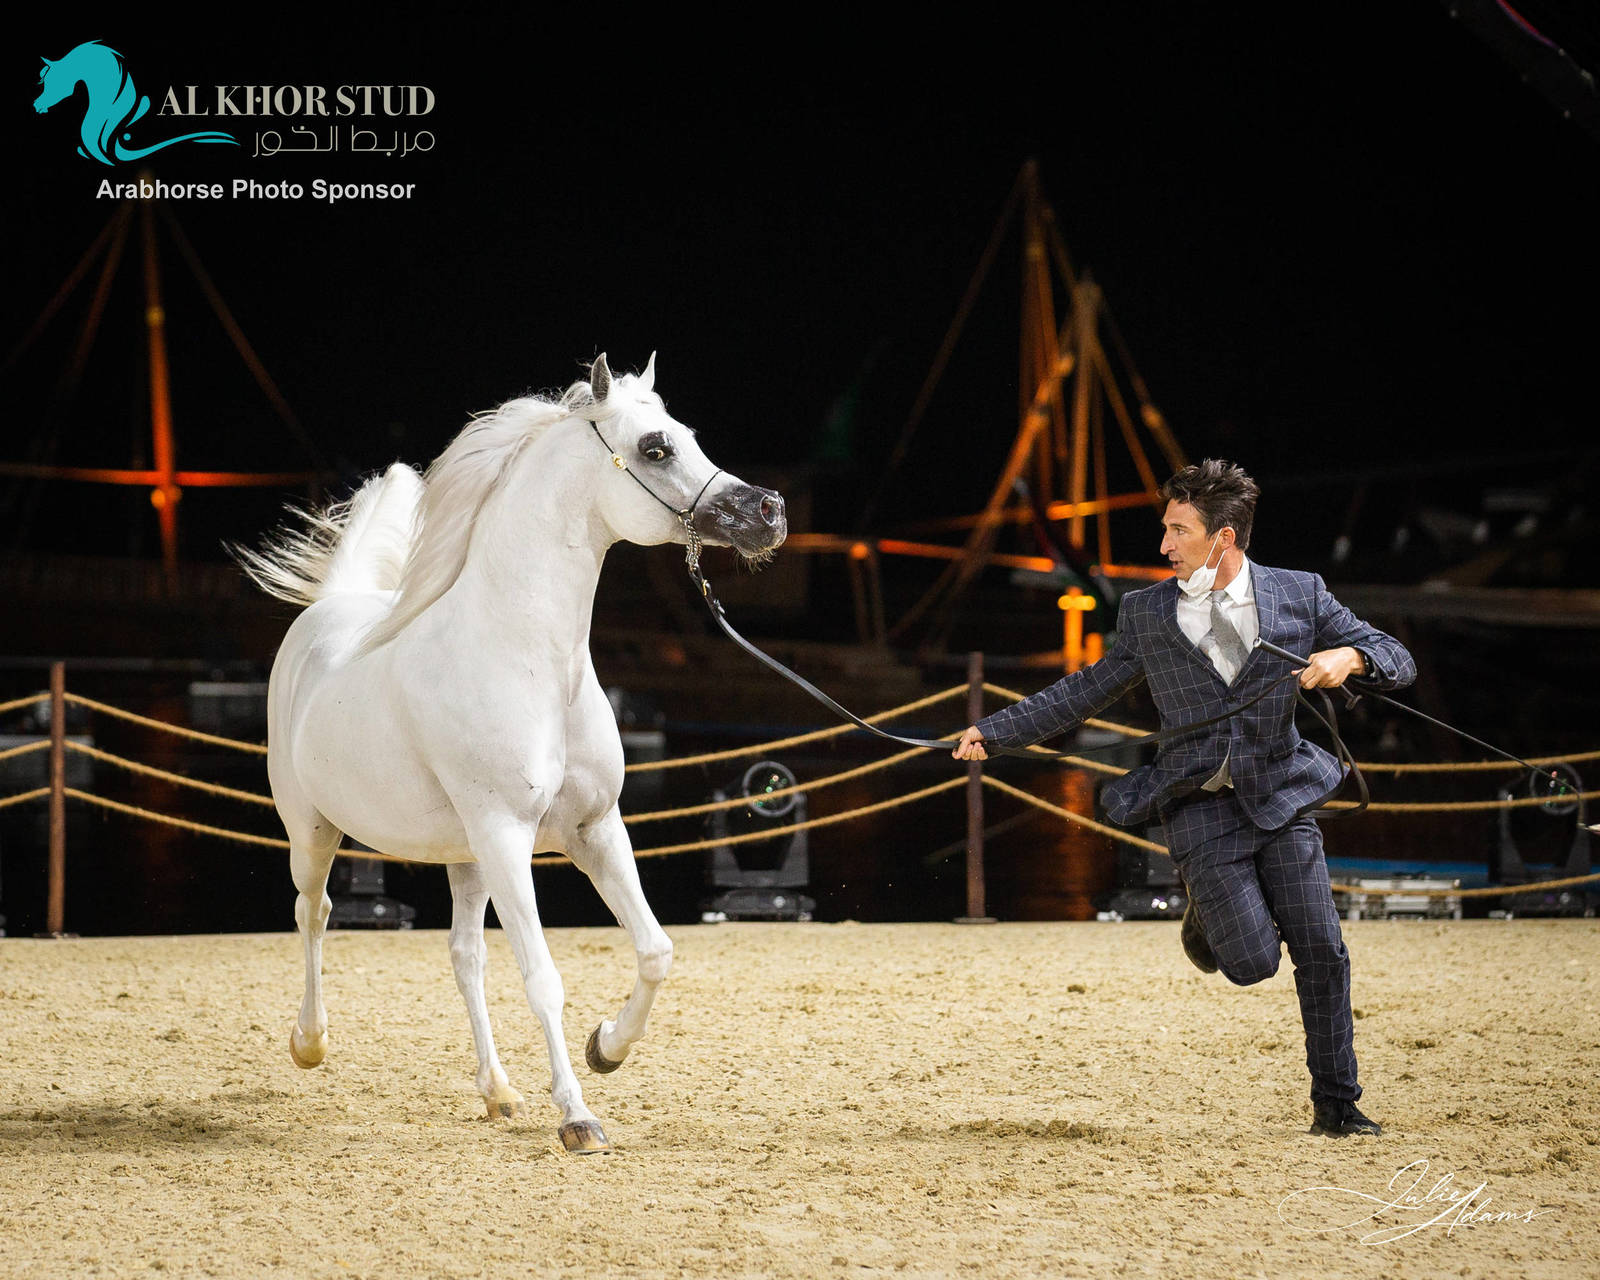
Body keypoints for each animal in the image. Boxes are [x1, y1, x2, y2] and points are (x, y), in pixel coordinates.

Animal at [237, 353, 786, 1152]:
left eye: (686, 434)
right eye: (656, 447)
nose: (769, 511)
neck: (528, 662)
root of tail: (327, 612)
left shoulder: (595, 829)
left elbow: (655, 951)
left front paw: (606, 1048)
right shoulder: (507, 837)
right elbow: (543, 978)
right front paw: (579, 1117)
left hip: (462, 858)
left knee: (464, 957)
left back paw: (497, 1091)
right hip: (312, 830)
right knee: (315, 913)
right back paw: (310, 1044)